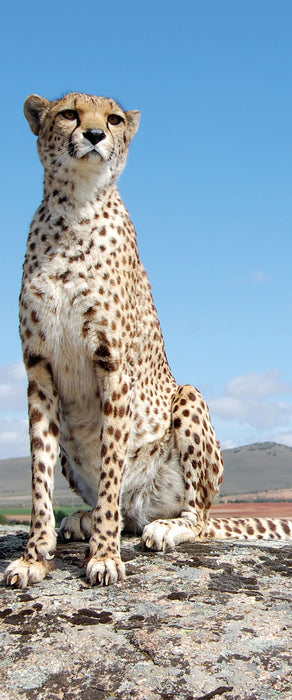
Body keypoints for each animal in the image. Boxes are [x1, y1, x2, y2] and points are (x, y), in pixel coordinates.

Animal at [3, 91, 290, 584]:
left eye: (114, 119)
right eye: (69, 114)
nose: (94, 134)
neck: (75, 209)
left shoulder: (112, 364)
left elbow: (111, 467)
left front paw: (104, 555)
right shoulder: (38, 370)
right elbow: (39, 475)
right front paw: (35, 555)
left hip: (189, 400)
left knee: (193, 518)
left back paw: (163, 528)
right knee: (123, 510)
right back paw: (81, 520)